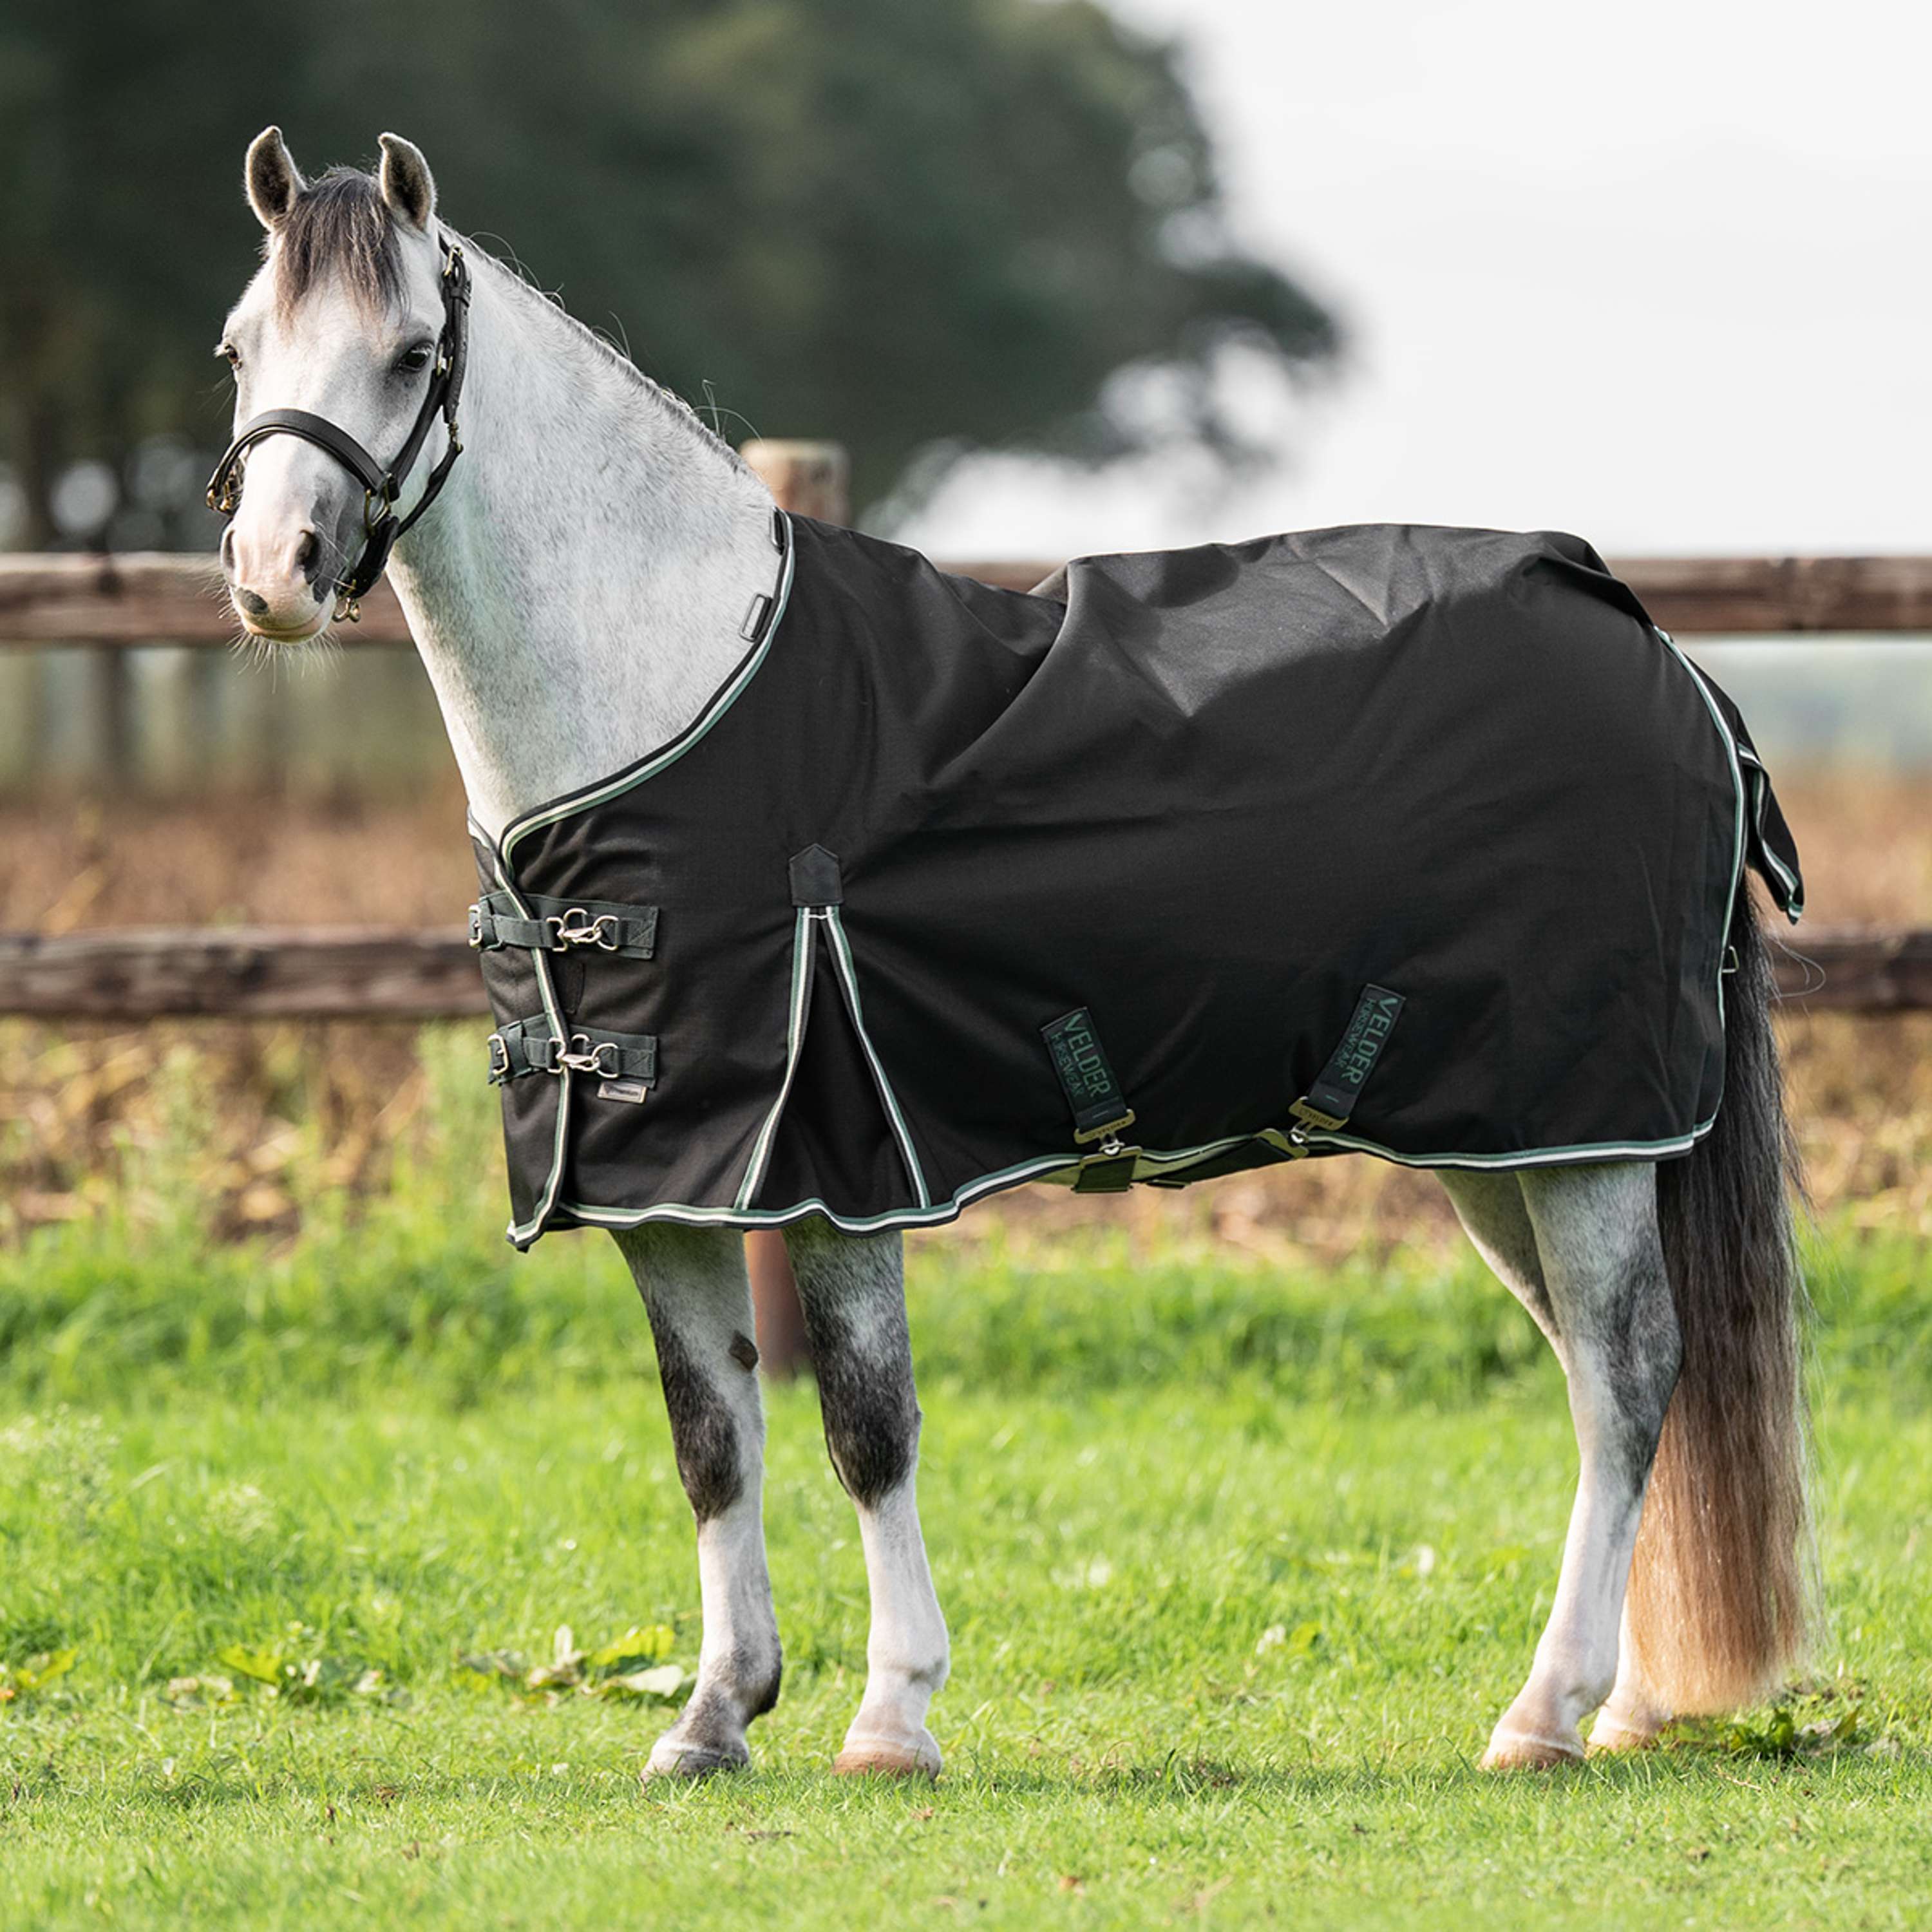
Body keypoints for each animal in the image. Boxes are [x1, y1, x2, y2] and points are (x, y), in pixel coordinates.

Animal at [210, 126, 1812, 1779]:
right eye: (241, 349)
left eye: (410, 353)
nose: (273, 569)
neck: (674, 704)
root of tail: (1663, 655)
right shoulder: (665, 1187)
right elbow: (713, 1442)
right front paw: (715, 1715)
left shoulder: (839, 1168)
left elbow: (865, 1427)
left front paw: (890, 1712)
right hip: (1504, 1148)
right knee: (1604, 1376)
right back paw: (1625, 1703)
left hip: (1582, 1131)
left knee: (1626, 1378)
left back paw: (1541, 1715)